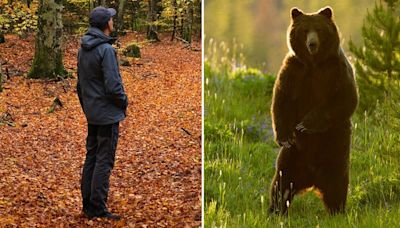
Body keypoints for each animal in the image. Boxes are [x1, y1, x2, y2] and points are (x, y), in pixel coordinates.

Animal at [268, 5, 360, 216]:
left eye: (319, 29)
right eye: (304, 30)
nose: (312, 44)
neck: (314, 63)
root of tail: (311, 180)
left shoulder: (337, 69)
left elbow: (345, 99)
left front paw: (304, 125)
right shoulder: (294, 70)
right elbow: (282, 100)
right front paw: (285, 136)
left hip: (336, 148)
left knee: (337, 183)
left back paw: (336, 211)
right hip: (292, 157)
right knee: (281, 183)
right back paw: (274, 210)